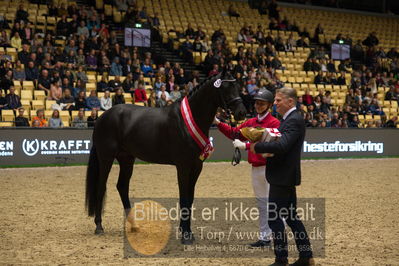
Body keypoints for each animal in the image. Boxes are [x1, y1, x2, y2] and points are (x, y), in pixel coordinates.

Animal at [86, 70, 245, 243]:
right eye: (225, 88)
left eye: (237, 86)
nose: (241, 112)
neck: (188, 121)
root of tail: (102, 117)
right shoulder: (183, 166)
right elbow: (183, 198)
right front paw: (186, 236)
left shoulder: (197, 166)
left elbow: (190, 199)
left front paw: (186, 231)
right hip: (106, 158)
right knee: (101, 186)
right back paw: (99, 226)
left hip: (126, 159)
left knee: (122, 186)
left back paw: (134, 225)